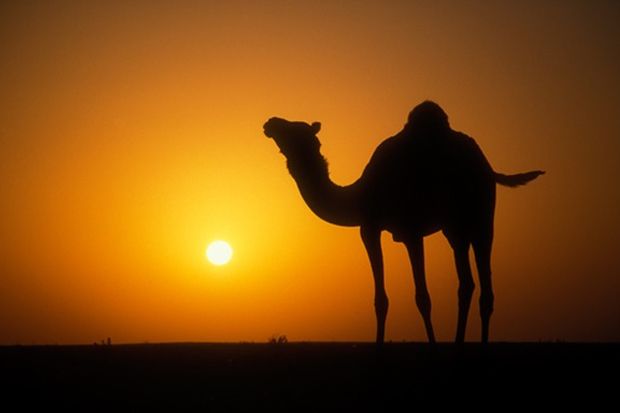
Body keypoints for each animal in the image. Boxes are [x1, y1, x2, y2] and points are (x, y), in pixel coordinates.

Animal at [262, 101, 544, 342]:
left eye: (293, 129)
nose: (270, 122)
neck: (362, 194)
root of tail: (487, 167)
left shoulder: (410, 231)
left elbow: (422, 297)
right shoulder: (371, 228)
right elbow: (381, 300)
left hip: (482, 218)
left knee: (485, 287)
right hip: (454, 227)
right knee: (466, 283)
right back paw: (458, 343)